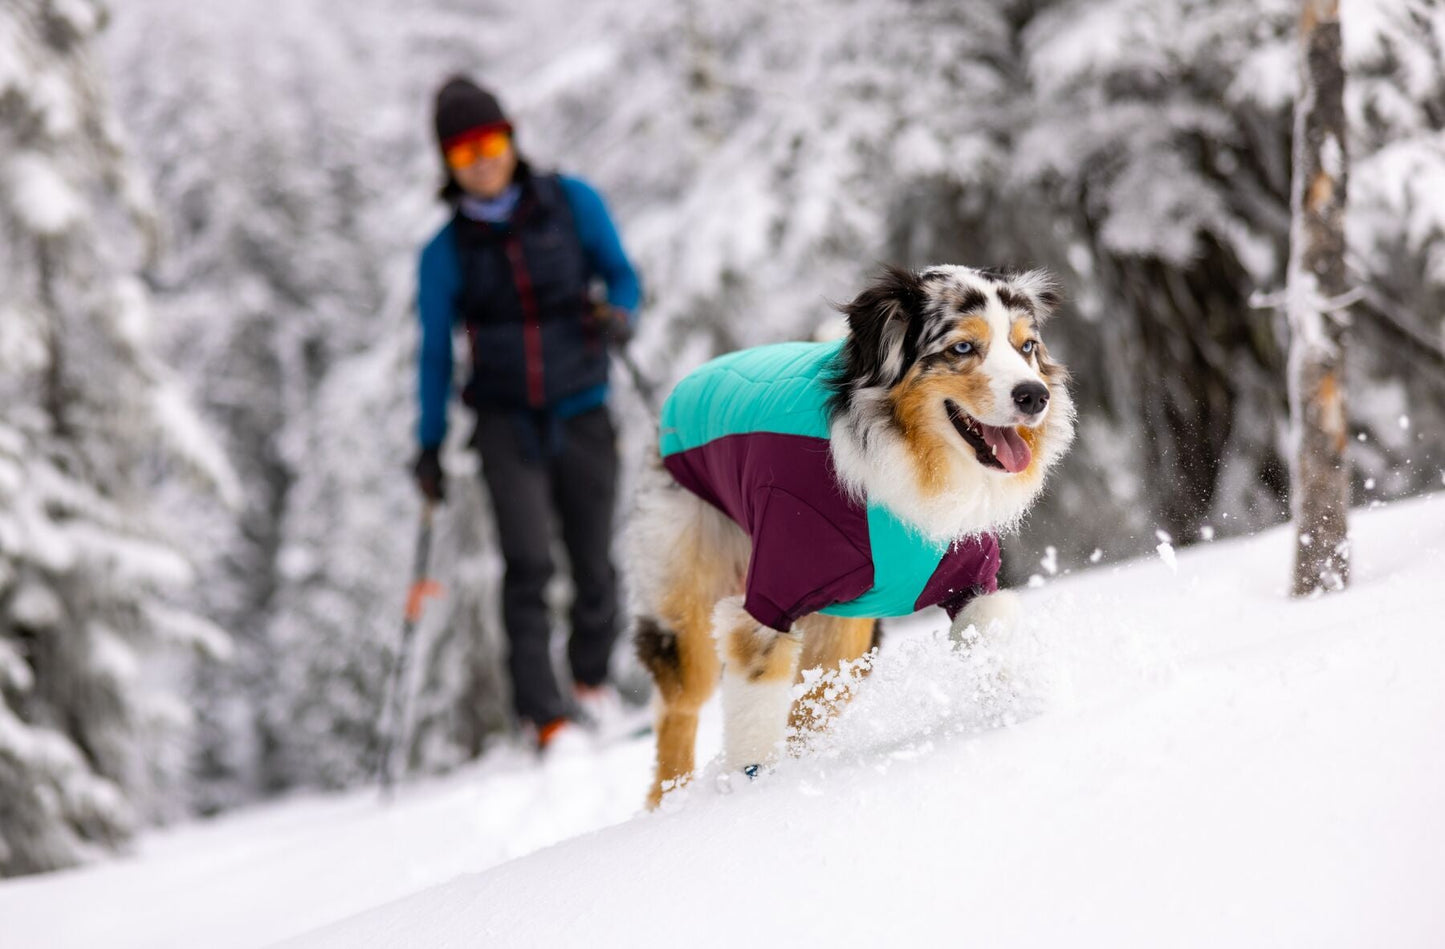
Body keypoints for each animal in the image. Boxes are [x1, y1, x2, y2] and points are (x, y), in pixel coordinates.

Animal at [630, 262, 1075, 803]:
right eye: (963, 348)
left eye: (1026, 346)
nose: (1035, 396)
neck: (912, 461)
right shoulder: (768, 598)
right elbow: (754, 702)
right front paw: (751, 789)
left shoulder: (969, 577)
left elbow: (988, 631)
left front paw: (1022, 711)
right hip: (687, 574)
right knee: (679, 703)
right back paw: (669, 800)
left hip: (848, 630)